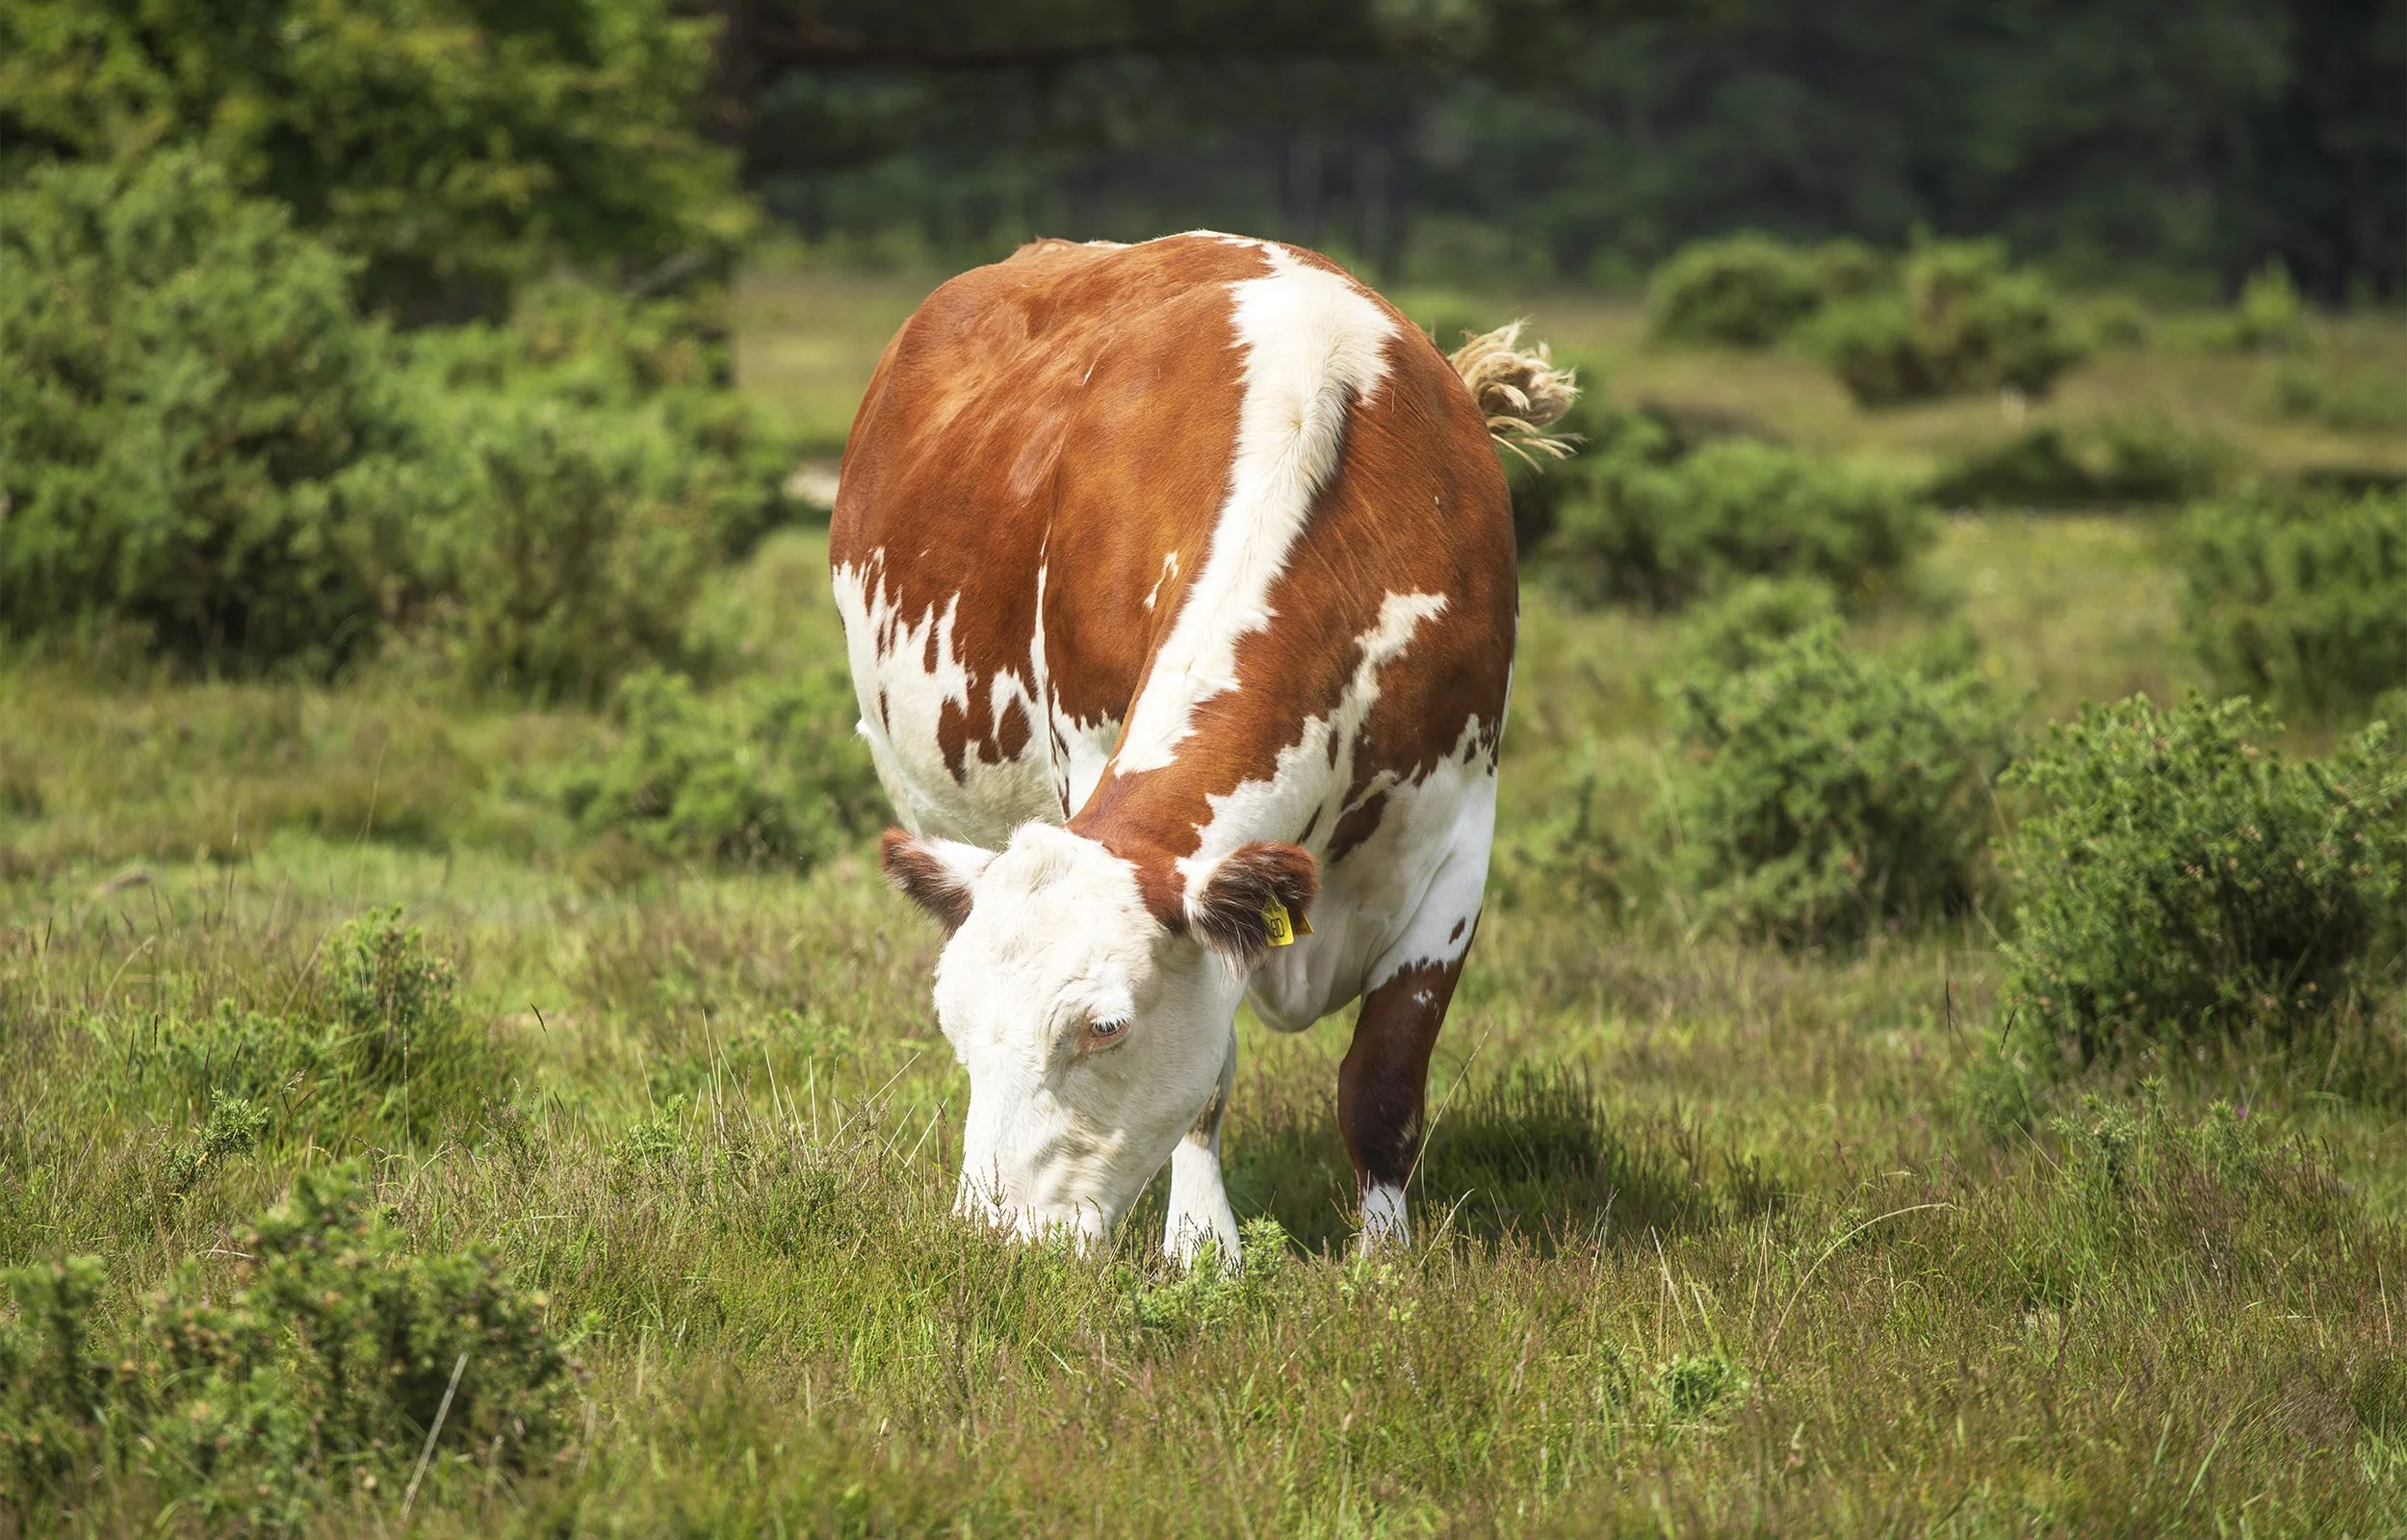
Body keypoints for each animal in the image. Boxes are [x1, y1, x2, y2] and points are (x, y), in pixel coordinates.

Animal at [830, 232, 1573, 1263]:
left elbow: (1384, 1081)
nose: (993, 1237)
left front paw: (1385, 1261)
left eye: (1104, 1028)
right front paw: (1201, 1248)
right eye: (954, 1022)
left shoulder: (1458, 837)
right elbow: (1209, 1076)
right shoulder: (1091, 759)